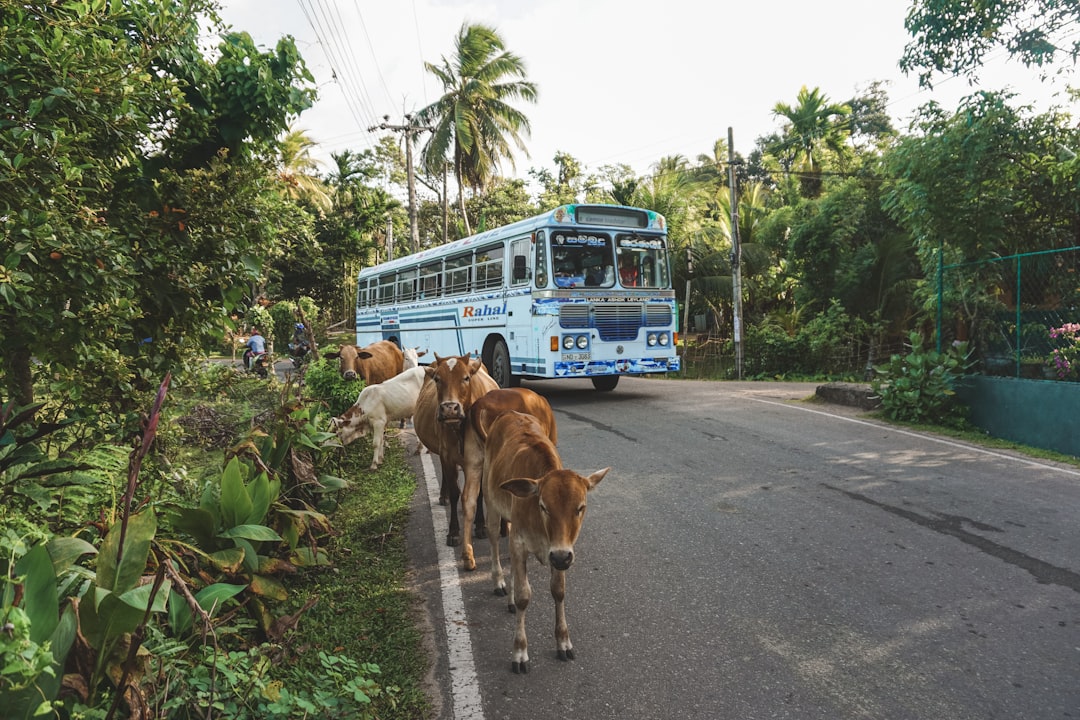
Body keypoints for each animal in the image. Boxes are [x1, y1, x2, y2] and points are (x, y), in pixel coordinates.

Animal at [412, 354, 496, 546]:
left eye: (466, 378)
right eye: (437, 379)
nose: (450, 408)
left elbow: (479, 493)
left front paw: (480, 526)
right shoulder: (447, 456)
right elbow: (455, 492)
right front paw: (453, 532)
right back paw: (444, 496)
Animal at [481, 410, 609, 677]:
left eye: (580, 507)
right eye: (543, 506)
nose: (561, 556)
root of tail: (509, 413)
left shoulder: (558, 553)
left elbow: (558, 591)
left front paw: (563, 641)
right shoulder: (521, 543)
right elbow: (524, 595)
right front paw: (519, 652)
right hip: (490, 499)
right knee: (494, 539)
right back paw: (499, 581)